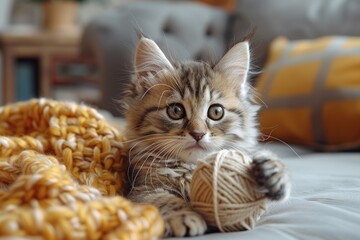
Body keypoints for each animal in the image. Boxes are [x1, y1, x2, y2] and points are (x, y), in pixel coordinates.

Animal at [121, 37, 290, 236]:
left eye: (216, 112)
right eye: (175, 111)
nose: (198, 134)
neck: (191, 168)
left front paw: (273, 171)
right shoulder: (140, 189)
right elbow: (161, 198)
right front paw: (183, 216)